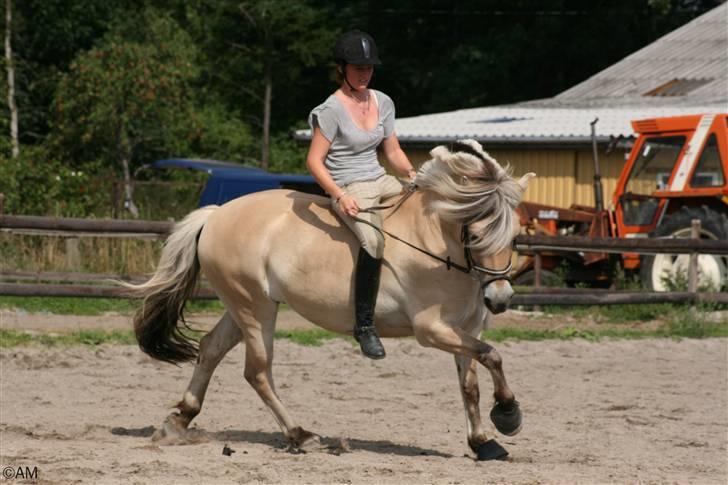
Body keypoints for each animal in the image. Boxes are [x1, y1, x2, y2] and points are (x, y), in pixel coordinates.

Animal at [123, 139, 536, 458]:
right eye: (476, 235)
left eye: (516, 235)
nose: (500, 299)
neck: (440, 245)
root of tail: (216, 214)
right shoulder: (432, 329)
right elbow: (492, 356)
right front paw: (508, 415)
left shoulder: (465, 328)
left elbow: (472, 381)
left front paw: (484, 442)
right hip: (254, 307)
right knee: (257, 371)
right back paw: (300, 435)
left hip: (242, 306)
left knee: (210, 348)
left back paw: (179, 420)